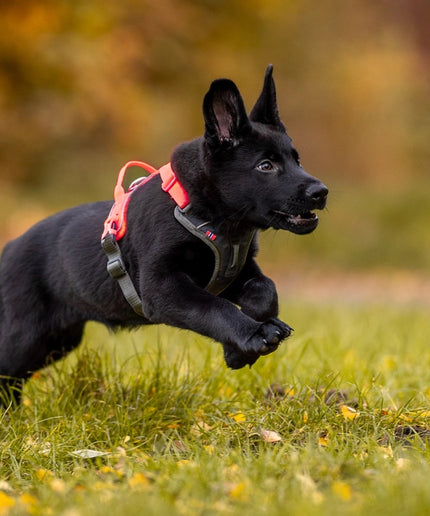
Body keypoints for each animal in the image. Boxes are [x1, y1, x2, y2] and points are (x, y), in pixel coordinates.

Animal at [0, 65, 326, 404]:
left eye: (297, 160)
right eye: (265, 166)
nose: (321, 192)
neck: (206, 214)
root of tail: (8, 248)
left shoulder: (235, 272)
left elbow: (265, 290)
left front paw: (241, 348)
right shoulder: (163, 287)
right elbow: (213, 308)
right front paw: (251, 337)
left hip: (58, 340)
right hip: (25, 336)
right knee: (7, 368)